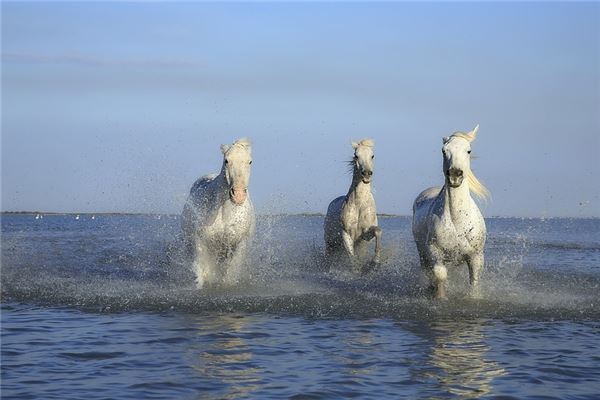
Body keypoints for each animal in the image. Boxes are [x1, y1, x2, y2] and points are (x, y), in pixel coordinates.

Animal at [180, 138, 255, 288]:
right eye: (226, 160)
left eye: (250, 161)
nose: (238, 195)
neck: (224, 212)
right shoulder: (201, 240)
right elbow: (203, 271)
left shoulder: (238, 244)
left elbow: (229, 275)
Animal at [326, 138, 382, 272]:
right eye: (356, 155)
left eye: (372, 155)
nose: (366, 173)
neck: (359, 205)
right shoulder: (346, 234)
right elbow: (351, 257)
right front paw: (357, 269)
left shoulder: (365, 235)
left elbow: (378, 231)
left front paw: (375, 262)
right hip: (330, 243)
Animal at [410, 126, 490, 298]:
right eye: (443, 151)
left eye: (468, 150)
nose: (454, 174)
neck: (457, 220)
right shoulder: (435, 252)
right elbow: (440, 275)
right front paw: (440, 297)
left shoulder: (476, 256)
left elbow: (474, 281)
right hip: (422, 253)